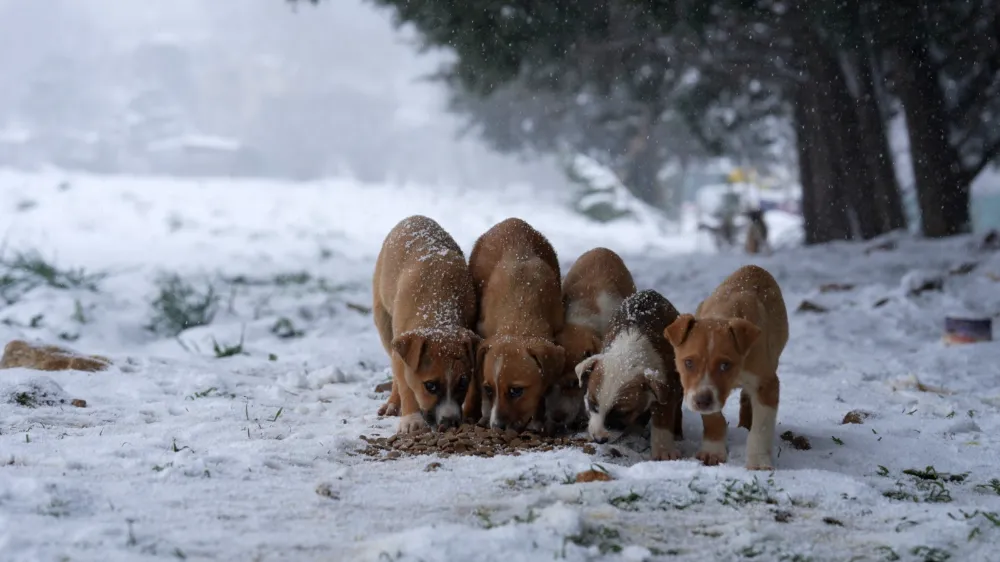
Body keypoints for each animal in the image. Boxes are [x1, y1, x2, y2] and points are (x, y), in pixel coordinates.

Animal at [372, 214, 480, 434]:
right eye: (430, 386)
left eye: (463, 383)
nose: (450, 423)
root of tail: (414, 217)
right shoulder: (401, 353)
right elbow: (405, 385)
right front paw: (411, 419)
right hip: (384, 324)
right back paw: (393, 404)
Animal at [576, 288, 684, 460]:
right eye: (592, 404)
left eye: (622, 413)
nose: (599, 439)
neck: (628, 354)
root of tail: (650, 291)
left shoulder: (668, 390)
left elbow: (663, 419)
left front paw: (663, 451)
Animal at [664, 262, 788, 468]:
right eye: (688, 362)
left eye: (725, 365)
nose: (702, 401)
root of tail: (753, 267)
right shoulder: (702, 391)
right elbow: (713, 418)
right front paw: (712, 451)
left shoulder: (766, 383)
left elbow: (761, 427)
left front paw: (758, 461)